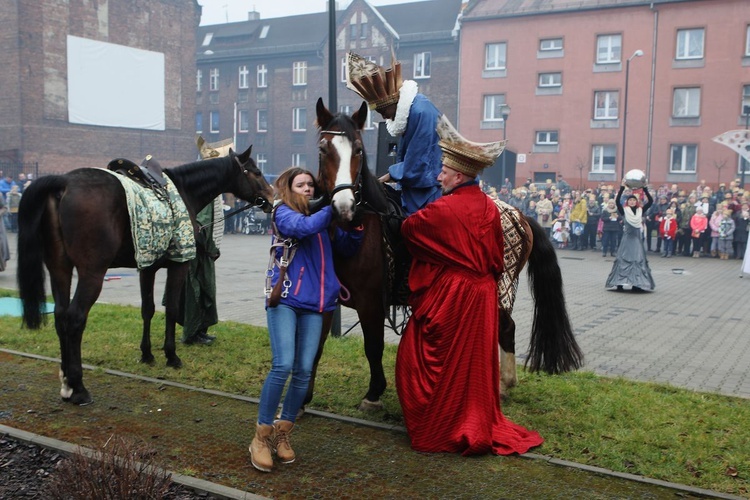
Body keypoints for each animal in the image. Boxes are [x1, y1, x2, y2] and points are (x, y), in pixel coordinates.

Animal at [17, 146, 274, 404]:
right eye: (257, 171)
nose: (272, 197)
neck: (183, 191)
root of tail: (63, 183)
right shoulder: (179, 263)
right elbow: (171, 309)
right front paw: (171, 356)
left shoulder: (147, 266)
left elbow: (147, 309)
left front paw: (147, 354)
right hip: (92, 273)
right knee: (74, 318)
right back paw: (78, 386)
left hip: (59, 268)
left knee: (60, 316)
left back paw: (66, 383)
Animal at [306, 99, 588, 412]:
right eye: (323, 149)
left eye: (357, 149)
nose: (344, 206)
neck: (359, 225)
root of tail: (520, 213)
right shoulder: (328, 296)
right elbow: (315, 344)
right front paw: (303, 397)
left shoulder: (371, 302)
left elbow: (373, 346)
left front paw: (374, 393)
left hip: (503, 285)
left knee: (507, 328)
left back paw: (504, 384)